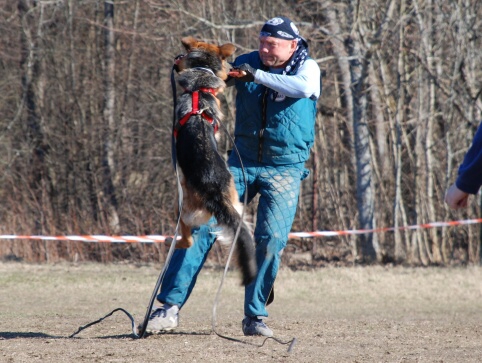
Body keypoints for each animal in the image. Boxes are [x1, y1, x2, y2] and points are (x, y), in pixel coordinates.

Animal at [172, 37, 258, 288]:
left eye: (183, 55)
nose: (176, 59)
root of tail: (214, 191)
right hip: (236, 201)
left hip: (182, 205)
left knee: (187, 238)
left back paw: (175, 241)